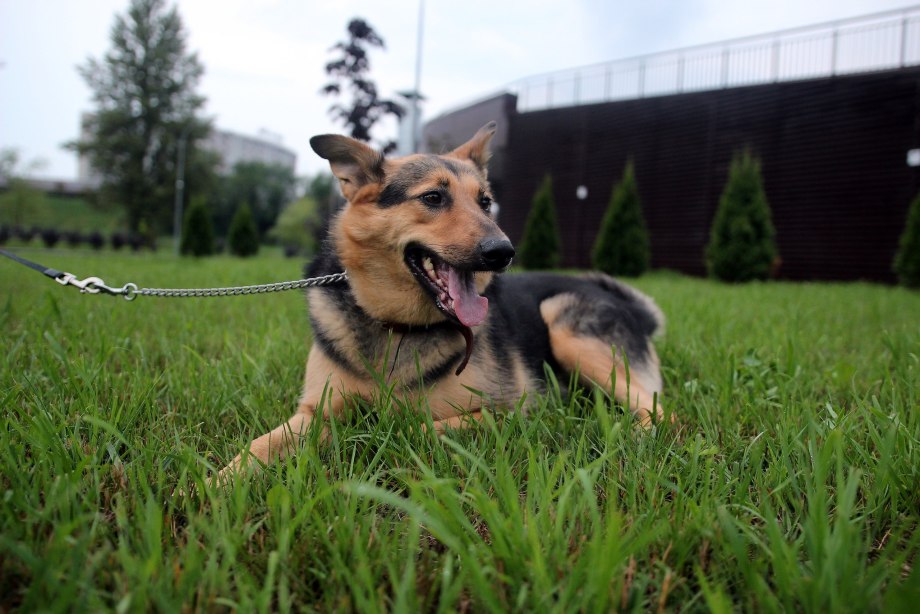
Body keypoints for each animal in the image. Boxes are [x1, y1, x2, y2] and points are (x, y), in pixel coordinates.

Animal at [219, 122, 664, 484]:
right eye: (433, 197)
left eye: (485, 202)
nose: (503, 252)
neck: (397, 327)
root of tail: (633, 309)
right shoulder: (314, 411)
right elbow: (258, 446)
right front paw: (211, 486)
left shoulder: (507, 413)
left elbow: (409, 429)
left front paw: (364, 438)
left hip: (565, 327)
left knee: (661, 410)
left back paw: (632, 436)